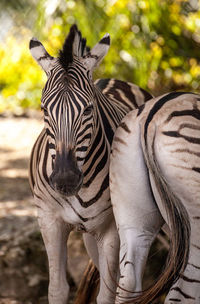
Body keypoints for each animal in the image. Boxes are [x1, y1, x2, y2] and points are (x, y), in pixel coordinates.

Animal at [28, 25, 152, 304]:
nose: (64, 180)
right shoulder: (49, 220)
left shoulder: (111, 228)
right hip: (89, 236)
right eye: (44, 110)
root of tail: (114, 80)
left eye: (87, 110)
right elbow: (58, 289)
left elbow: (107, 294)